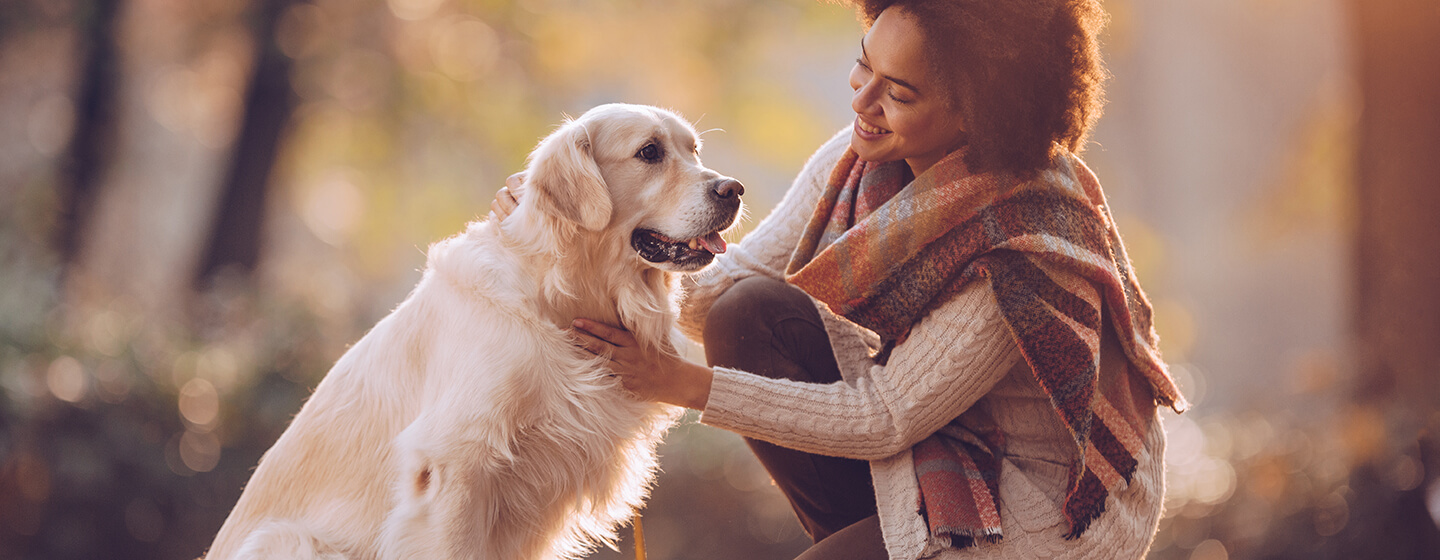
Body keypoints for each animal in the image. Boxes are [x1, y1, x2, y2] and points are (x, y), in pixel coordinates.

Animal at [208, 102, 748, 555]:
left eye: (693, 150)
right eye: (649, 152)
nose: (734, 189)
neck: (557, 299)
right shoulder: (455, 465)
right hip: (289, 540)